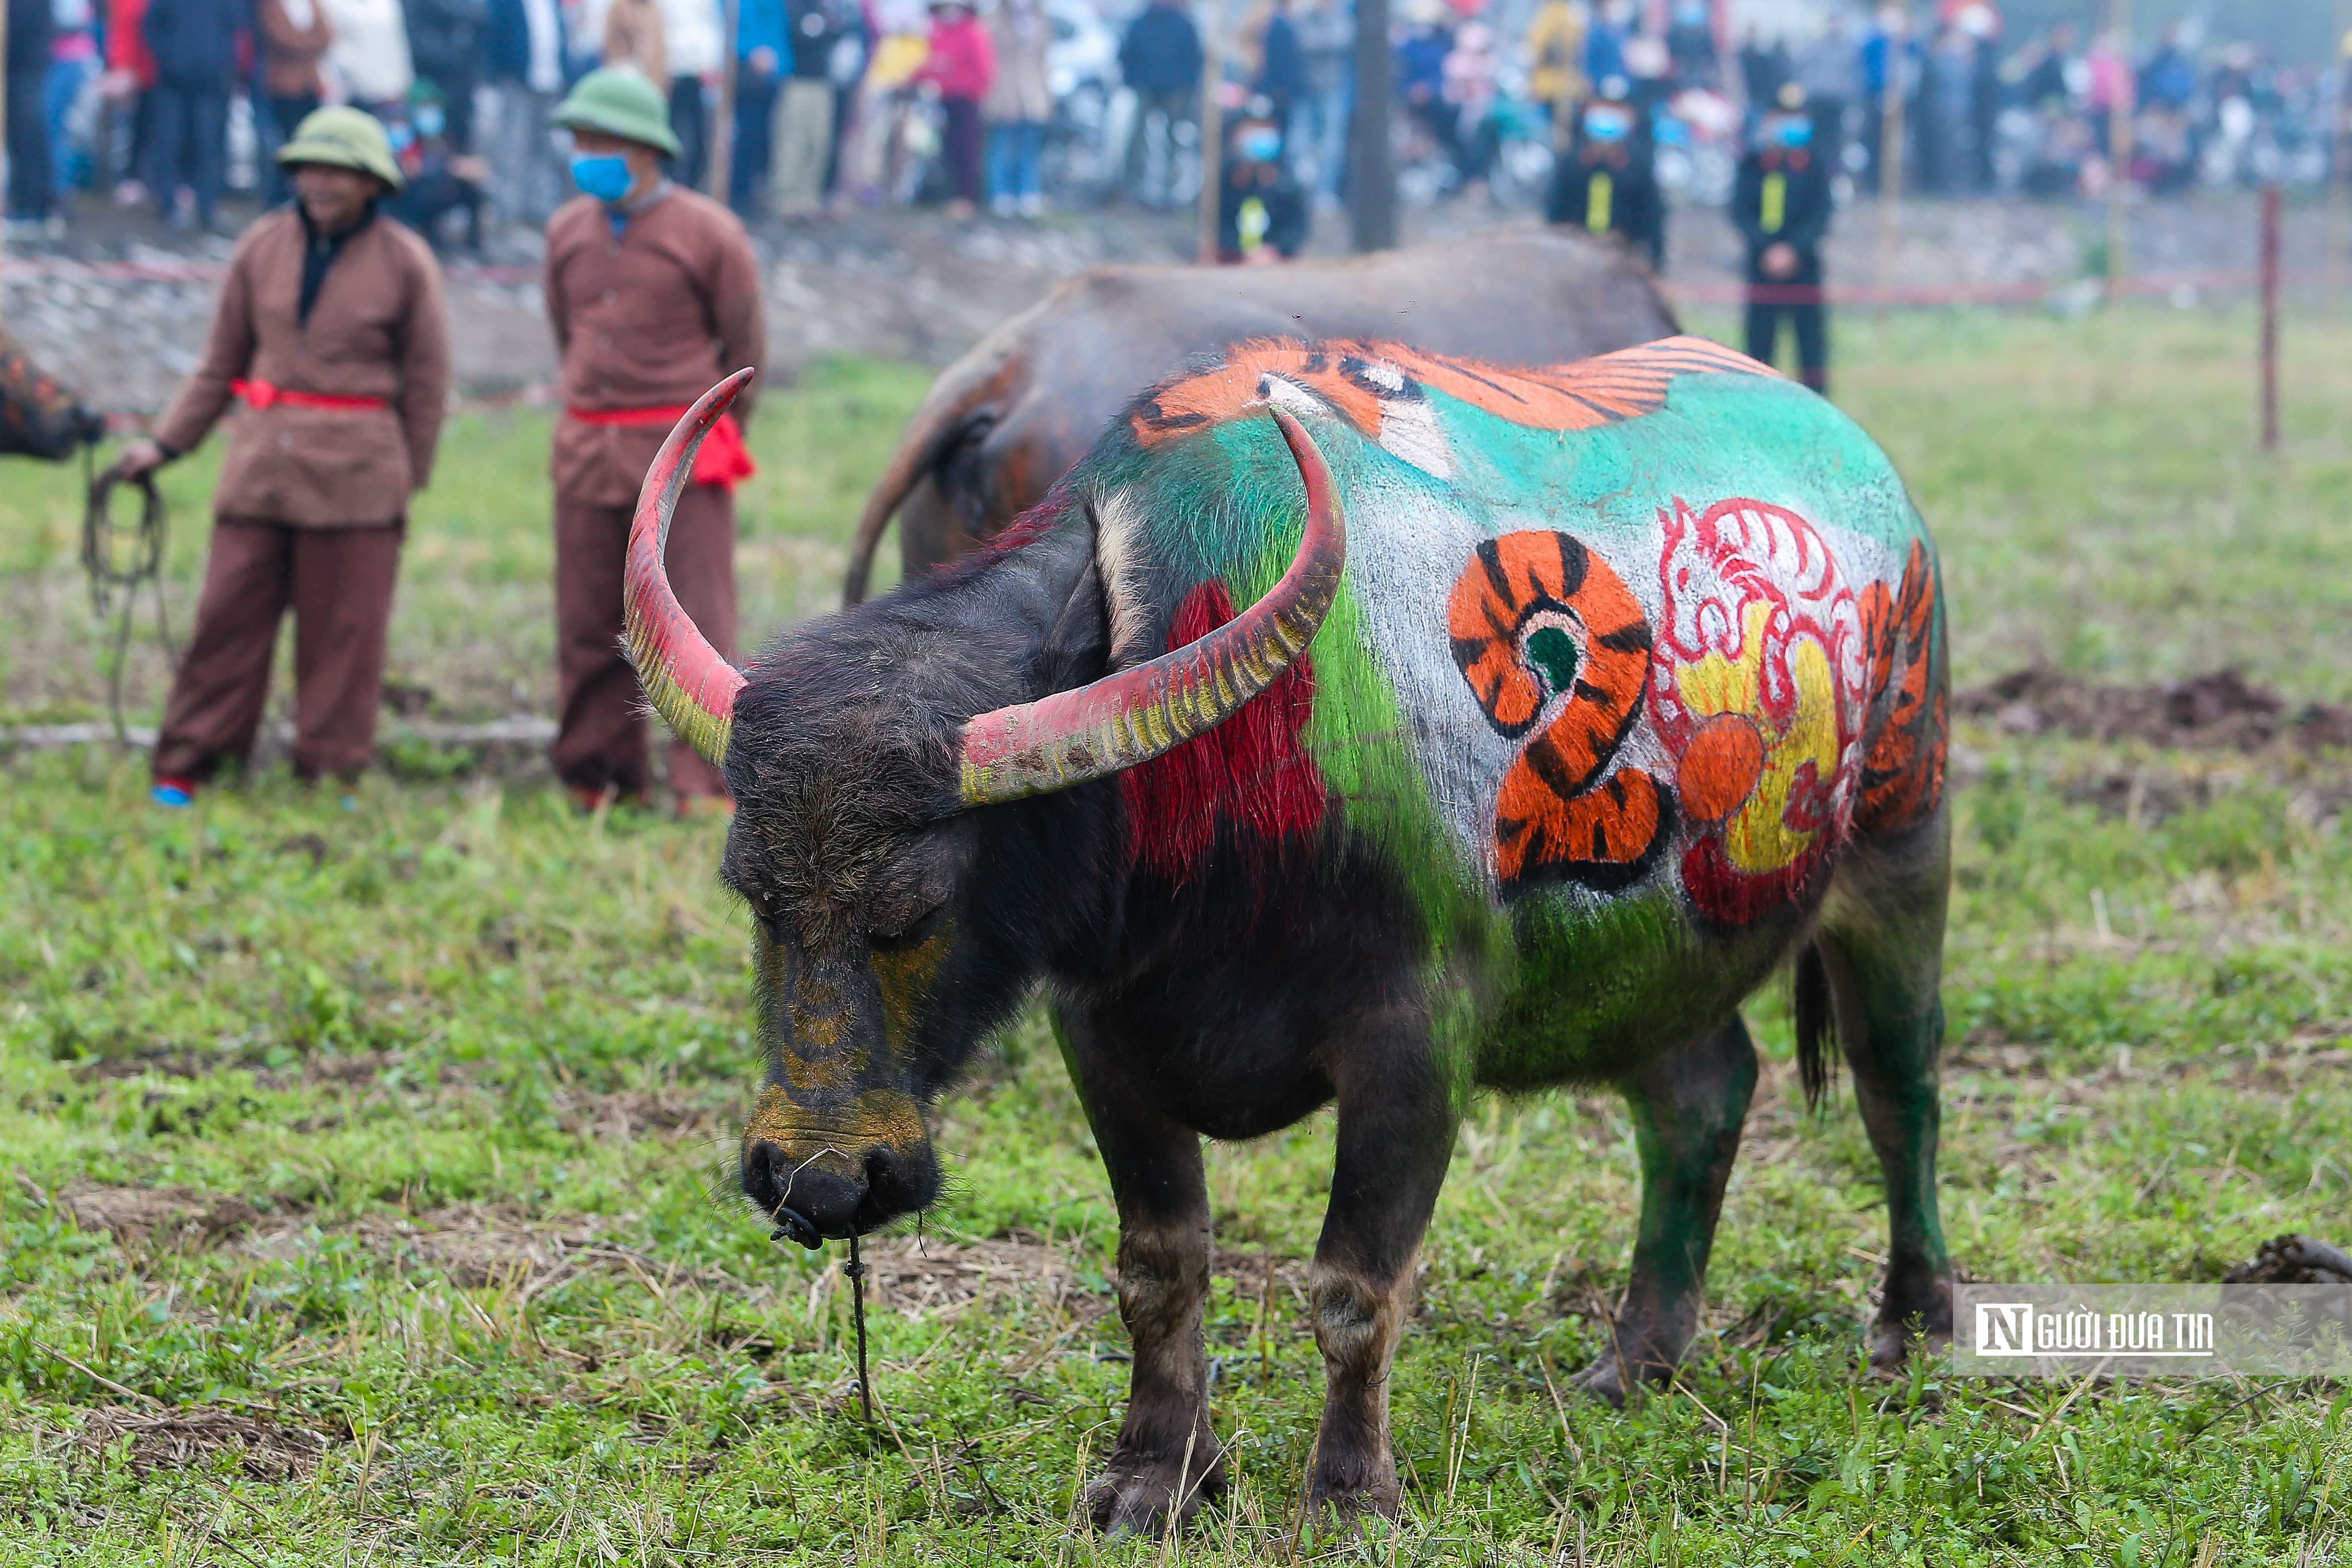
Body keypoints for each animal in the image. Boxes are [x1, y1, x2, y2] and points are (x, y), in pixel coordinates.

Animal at [621, 341, 1947, 1533]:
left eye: (918, 906)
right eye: (755, 892)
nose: (820, 1179)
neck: (1223, 783)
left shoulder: (1413, 1045)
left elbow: (1355, 1285)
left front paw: (1351, 1495)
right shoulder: (1102, 1036)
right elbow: (1160, 1269)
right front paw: (1154, 1478)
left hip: (1899, 854)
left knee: (1899, 1091)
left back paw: (1910, 1332)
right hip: (1649, 962)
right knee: (1700, 1094)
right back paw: (1637, 1360)